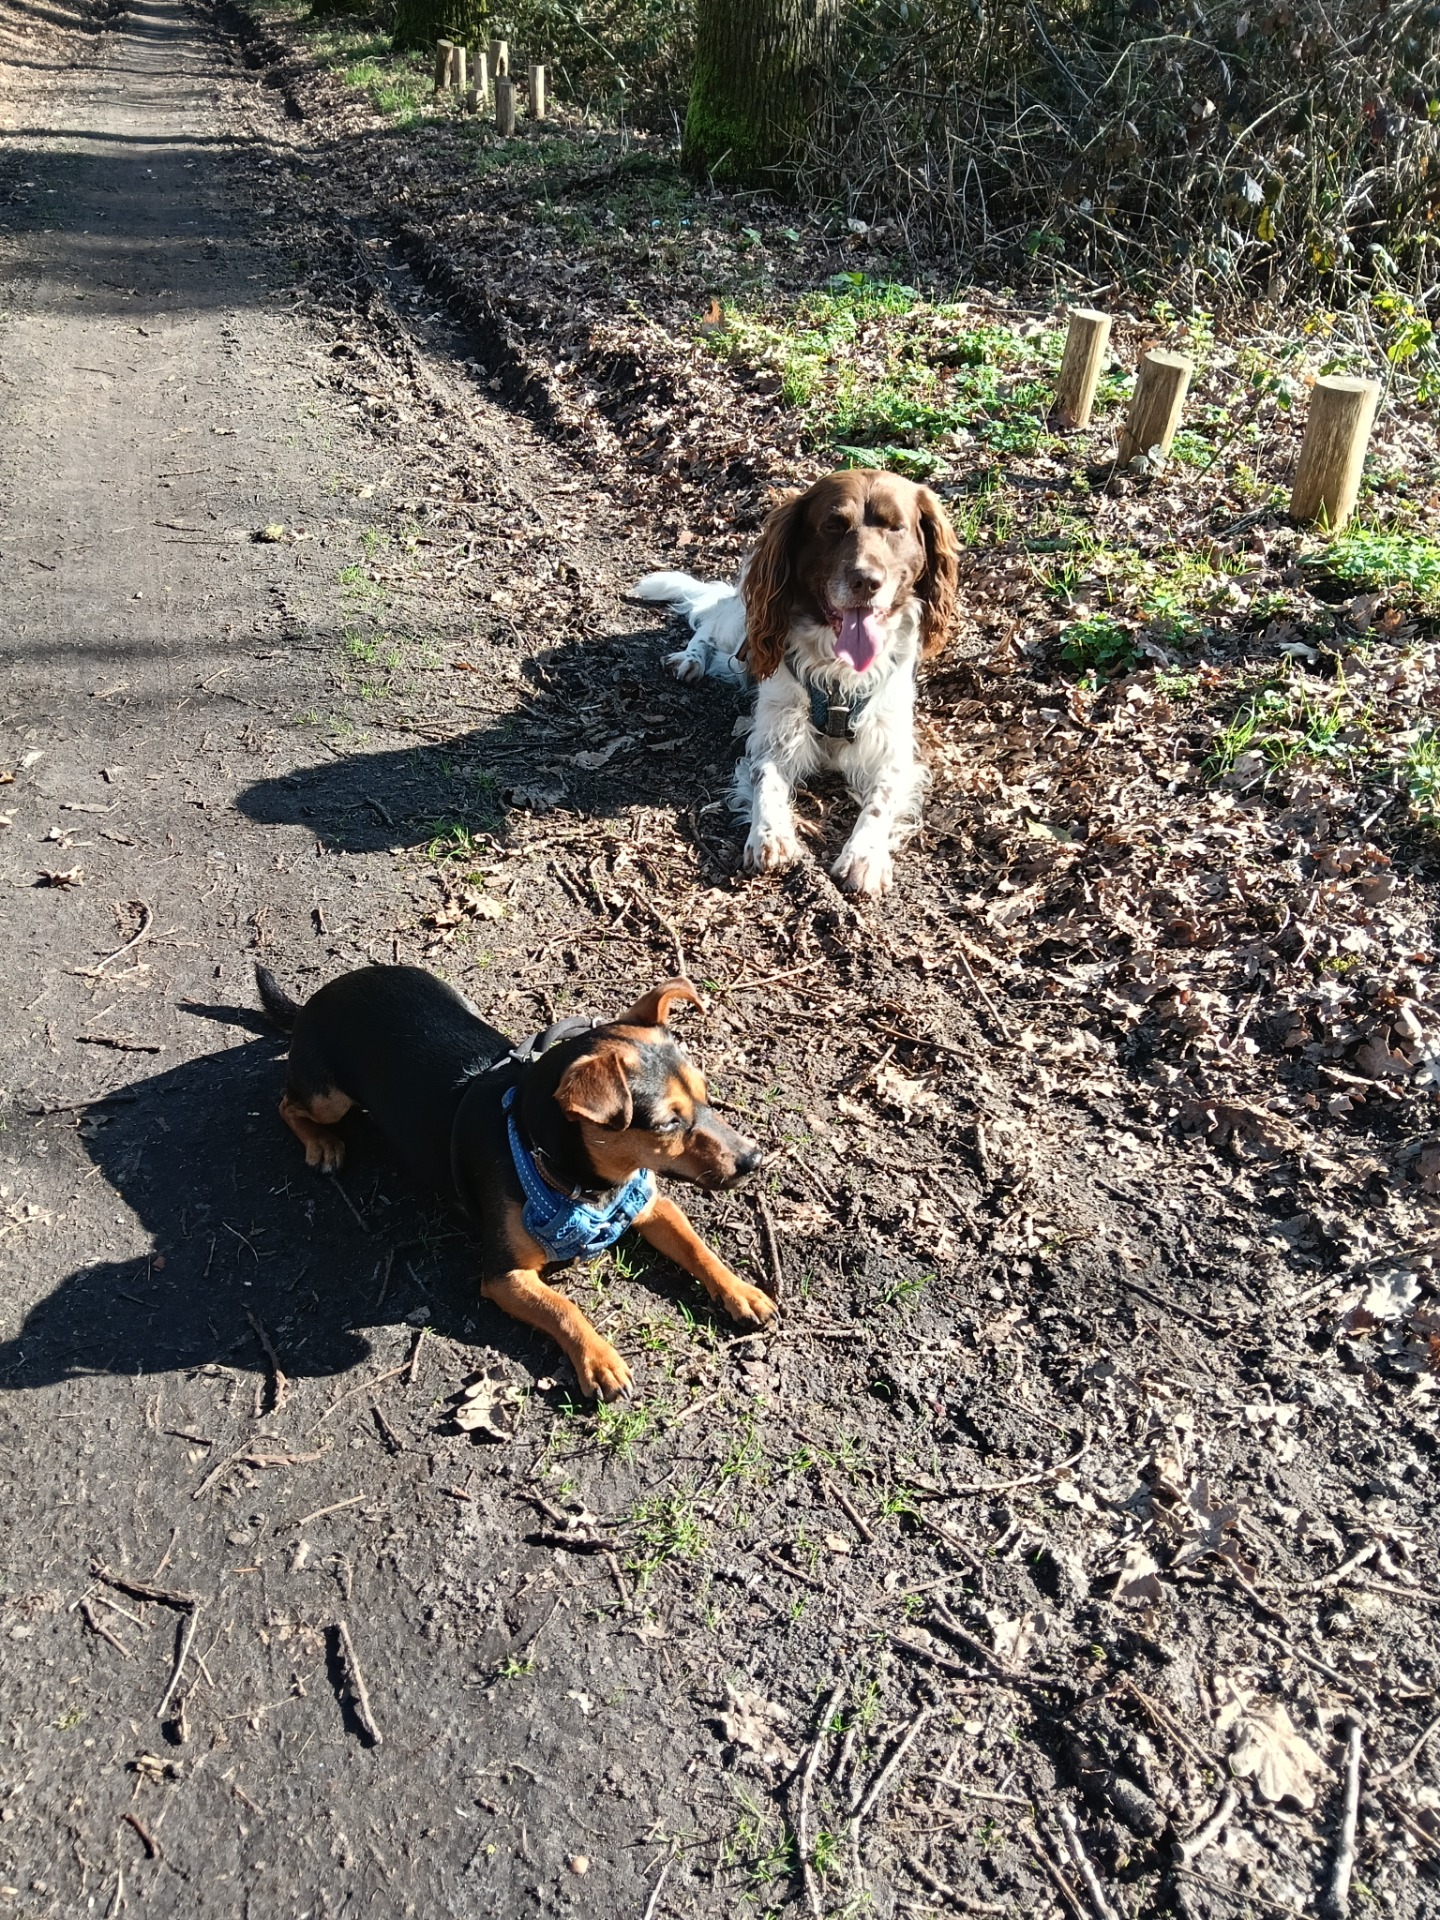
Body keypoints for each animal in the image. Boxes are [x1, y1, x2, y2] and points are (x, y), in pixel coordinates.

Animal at [255, 963, 774, 1401]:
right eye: (667, 1124)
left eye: (707, 1096)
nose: (754, 1159)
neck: (587, 1184)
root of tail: (322, 994)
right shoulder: (505, 1276)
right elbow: (564, 1308)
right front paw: (599, 1360)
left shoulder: (650, 1205)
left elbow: (697, 1247)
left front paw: (741, 1291)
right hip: (328, 1098)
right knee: (286, 1103)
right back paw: (321, 1144)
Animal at [632, 468, 959, 895]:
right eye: (833, 526)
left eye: (895, 527)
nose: (866, 581)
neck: (838, 677)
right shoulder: (776, 735)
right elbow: (766, 782)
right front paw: (770, 836)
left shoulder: (892, 747)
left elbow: (881, 799)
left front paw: (864, 856)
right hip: (742, 631)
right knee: (708, 622)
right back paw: (689, 660)